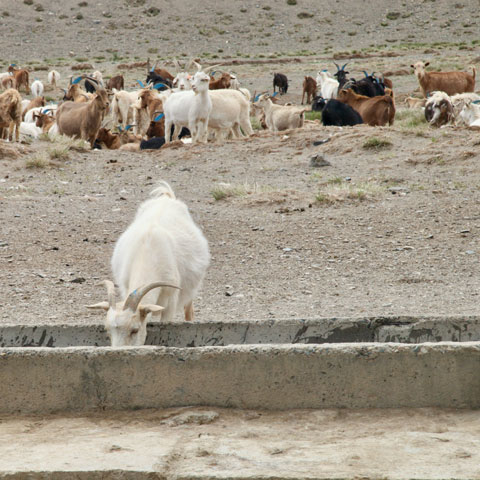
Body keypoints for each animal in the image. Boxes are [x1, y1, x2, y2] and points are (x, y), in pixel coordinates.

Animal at [87, 181, 210, 344]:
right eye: (108, 331)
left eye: (135, 330)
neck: (148, 252)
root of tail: (166, 197)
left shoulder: (171, 301)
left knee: (189, 310)